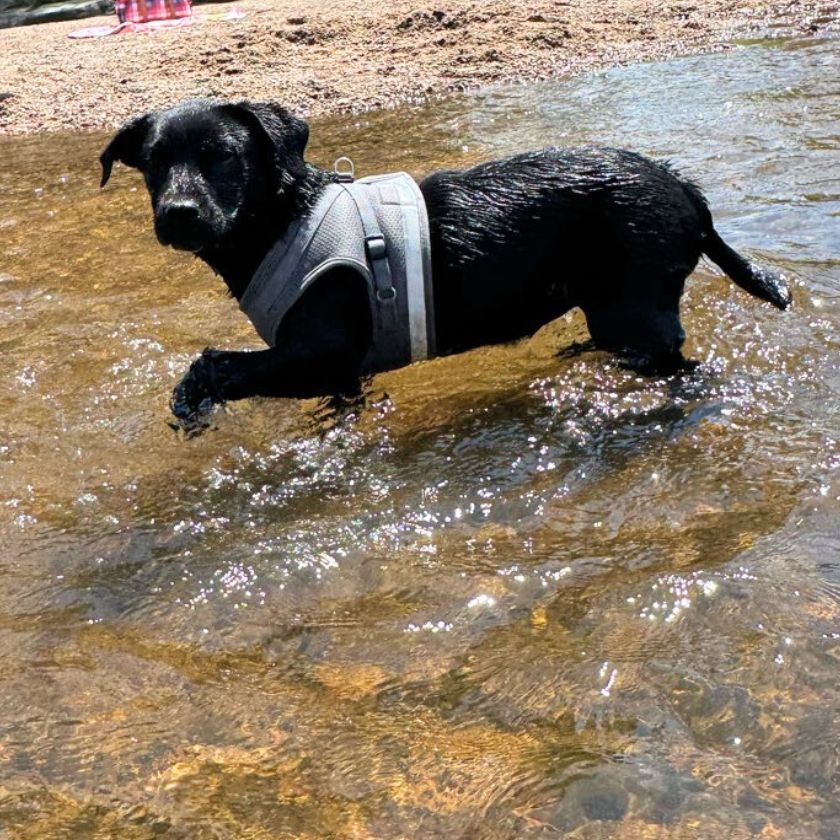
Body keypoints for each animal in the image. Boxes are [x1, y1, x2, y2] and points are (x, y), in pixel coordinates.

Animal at [101, 99, 792, 424]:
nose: (178, 214)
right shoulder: (339, 375)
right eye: (154, 163)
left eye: (222, 156)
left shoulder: (318, 357)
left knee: (679, 365)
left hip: (636, 310)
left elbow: (215, 365)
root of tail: (683, 187)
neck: (283, 219)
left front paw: (191, 402)